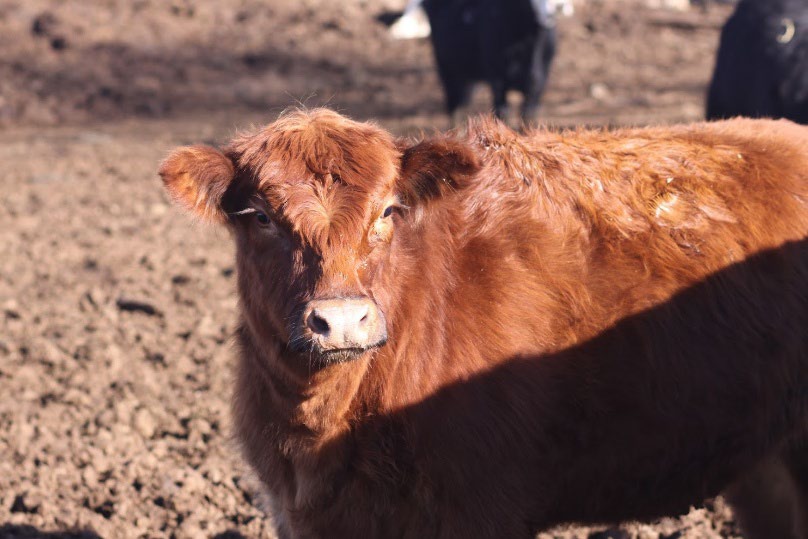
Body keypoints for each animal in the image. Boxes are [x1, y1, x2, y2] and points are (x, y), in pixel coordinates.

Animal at [420, 0, 557, 126]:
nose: (552, 12)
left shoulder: (539, 82)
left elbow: (528, 114)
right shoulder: (497, 79)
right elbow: (503, 112)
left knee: (463, 102)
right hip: (447, 70)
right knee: (454, 106)